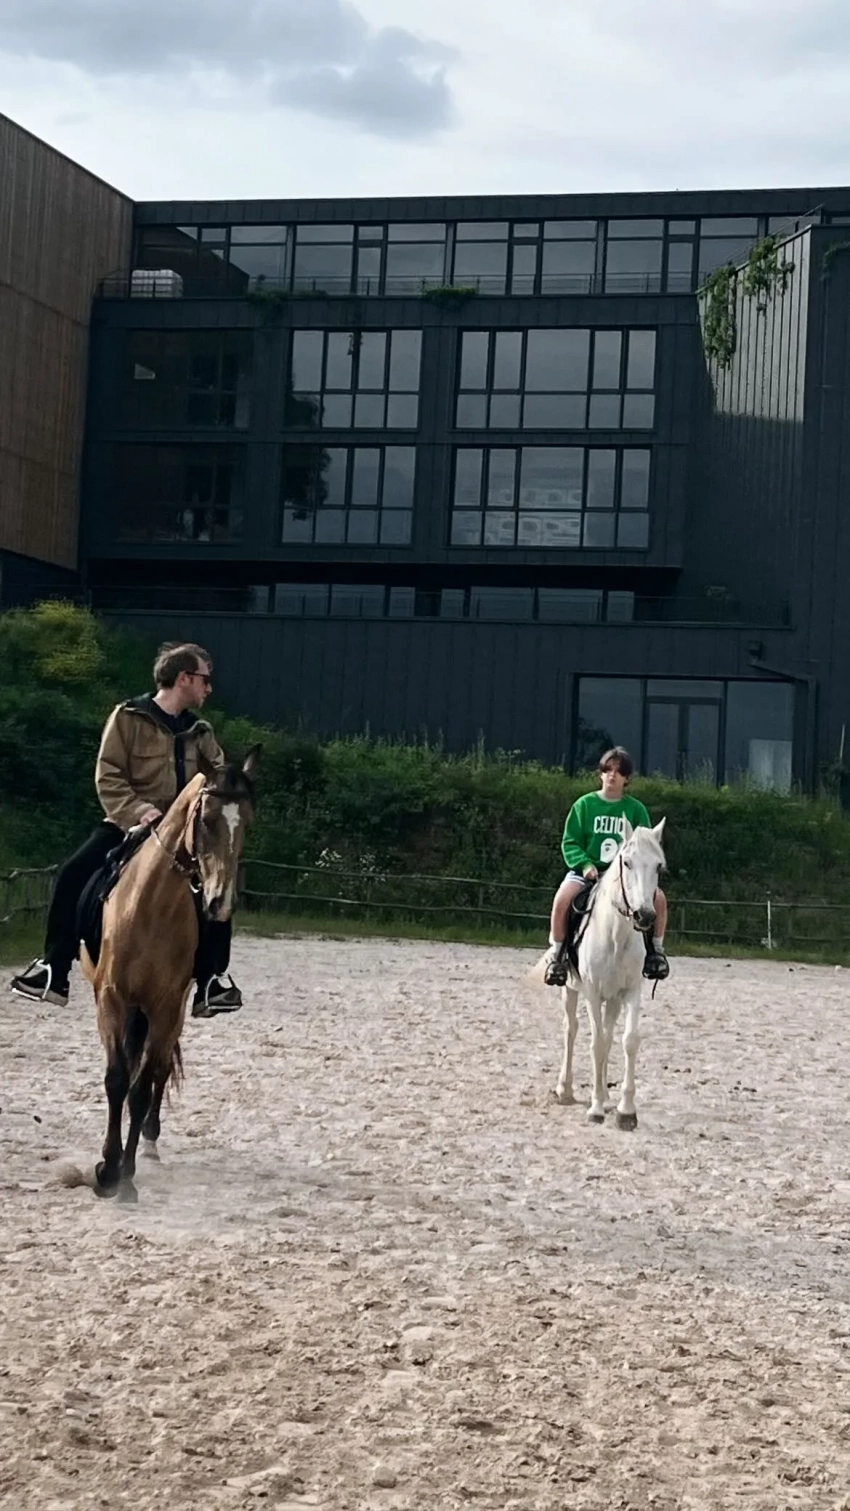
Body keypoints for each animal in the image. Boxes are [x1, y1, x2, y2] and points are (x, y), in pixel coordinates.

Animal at [79, 749, 259, 1201]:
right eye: (207, 819)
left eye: (247, 822)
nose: (219, 902)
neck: (150, 907)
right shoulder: (112, 998)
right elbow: (116, 1079)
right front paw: (106, 1170)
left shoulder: (164, 1006)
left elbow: (142, 1087)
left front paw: (124, 1176)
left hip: (170, 1014)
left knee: (157, 1072)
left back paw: (150, 1141)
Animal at [533, 818, 666, 1131]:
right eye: (626, 862)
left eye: (658, 866)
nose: (644, 916)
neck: (615, 935)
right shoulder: (592, 992)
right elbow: (596, 1044)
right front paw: (595, 1108)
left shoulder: (630, 991)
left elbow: (628, 1041)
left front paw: (625, 1110)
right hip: (570, 989)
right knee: (571, 1029)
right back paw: (565, 1089)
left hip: (613, 998)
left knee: (608, 1033)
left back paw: (605, 1095)